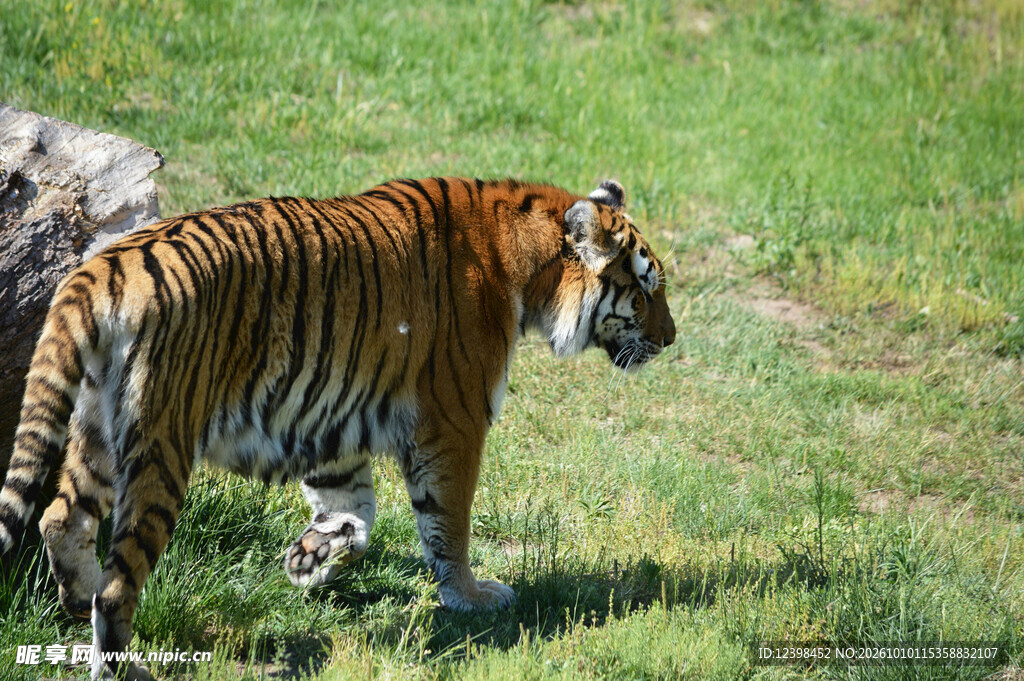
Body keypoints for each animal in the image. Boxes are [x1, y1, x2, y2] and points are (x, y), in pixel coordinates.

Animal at [0, 176, 675, 680]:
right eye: (644, 289)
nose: (671, 340)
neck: (527, 265)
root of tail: (102, 267)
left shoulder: (330, 417)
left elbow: (356, 514)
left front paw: (309, 560)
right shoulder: (453, 419)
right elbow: (448, 523)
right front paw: (471, 597)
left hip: (97, 430)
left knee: (61, 519)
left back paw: (76, 602)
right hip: (162, 443)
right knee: (118, 584)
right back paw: (127, 665)